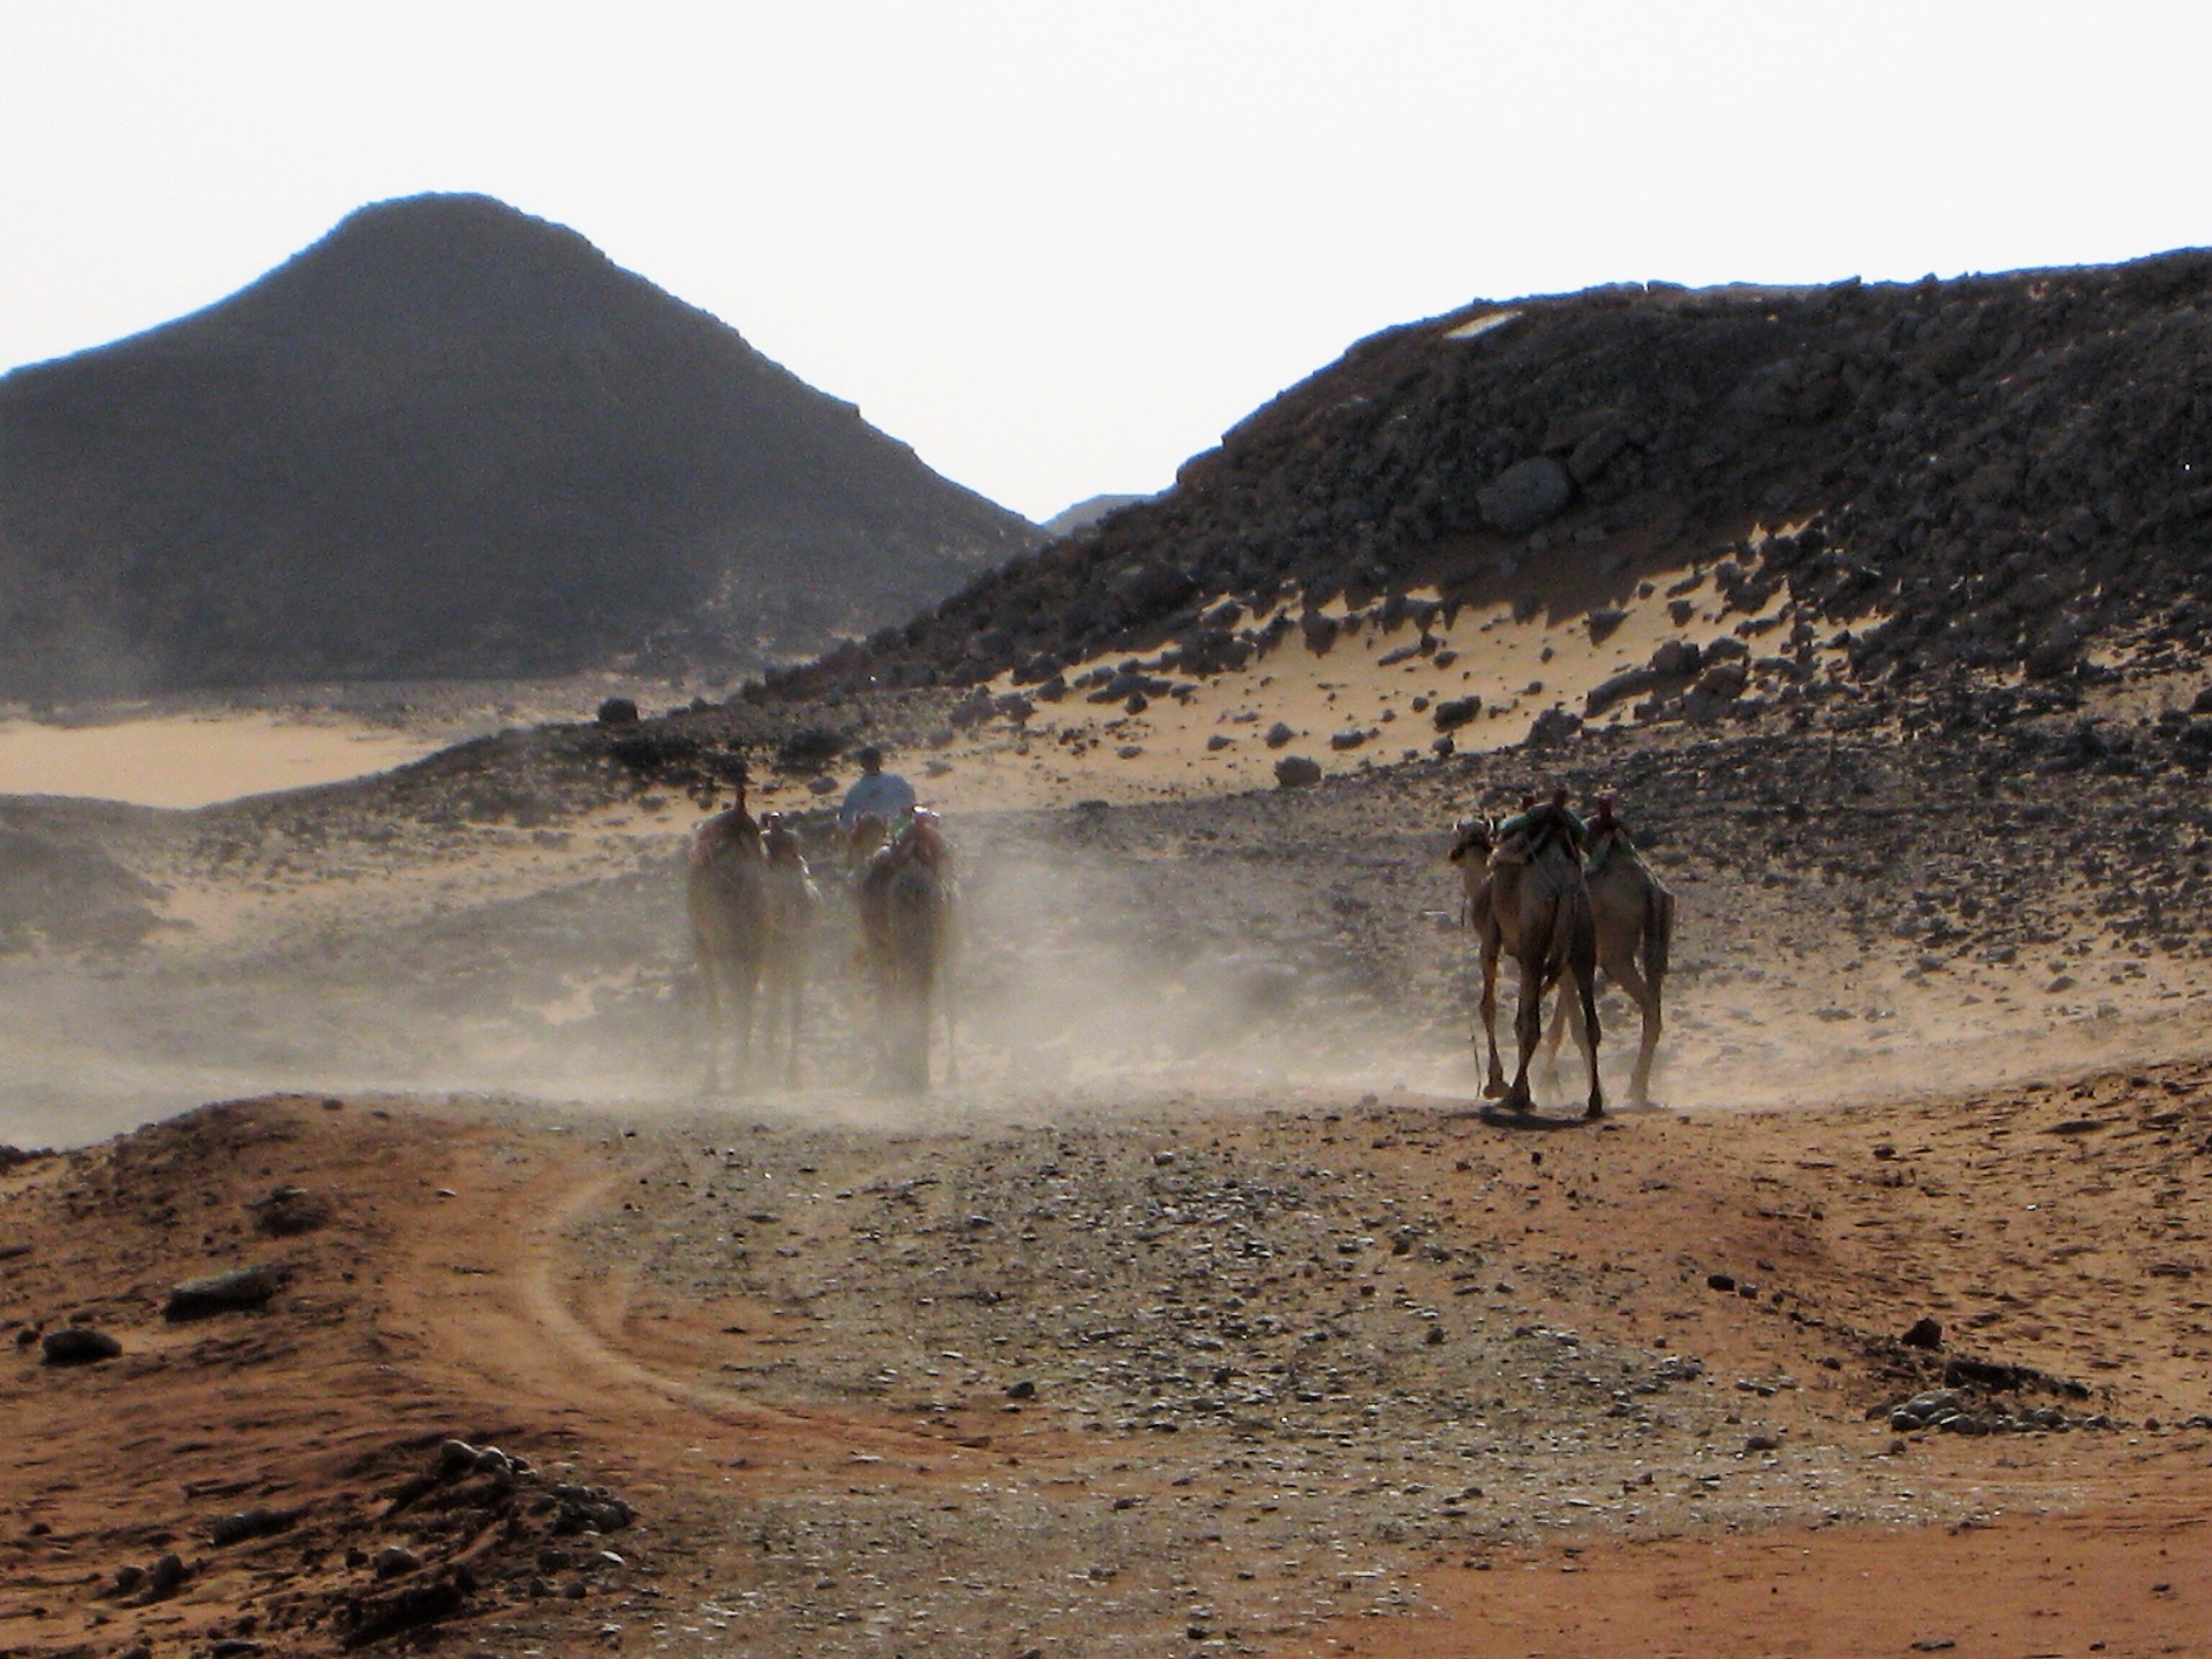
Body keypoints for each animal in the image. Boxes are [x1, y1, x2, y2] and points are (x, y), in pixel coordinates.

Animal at [1442, 809, 1601, 1119]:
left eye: (1458, 833)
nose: (1452, 855)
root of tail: (1564, 884)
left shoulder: (1491, 939)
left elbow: (1489, 1007)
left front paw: (1495, 1084)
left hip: (1534, 943)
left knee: (1532, 1026)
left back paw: (1514, 1096)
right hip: (1583, 939)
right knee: (1591, 1024)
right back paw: (1595, 1103)